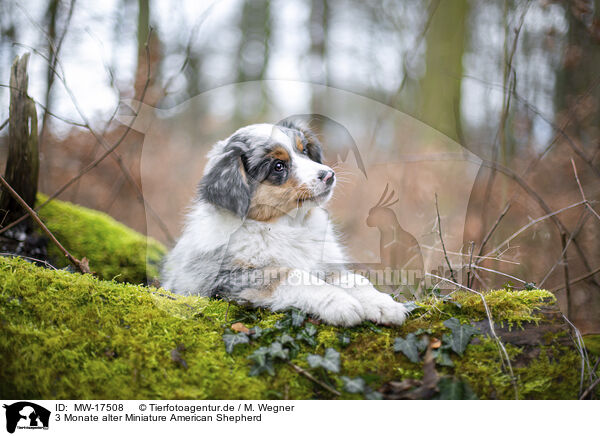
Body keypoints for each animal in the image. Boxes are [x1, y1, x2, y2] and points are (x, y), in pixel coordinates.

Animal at [162, 121, 410, 326]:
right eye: (278, 166)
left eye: (304, 151)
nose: (329, 175)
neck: (290, 225)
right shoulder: (228, 278)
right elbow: (293, 276)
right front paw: (341, 304)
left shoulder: (326, 264)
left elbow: (355, 280)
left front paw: (383, 304)